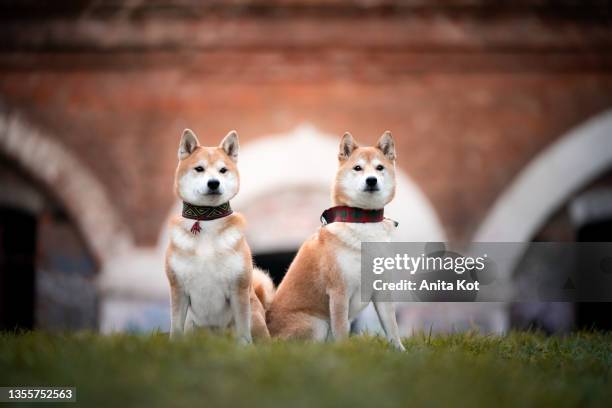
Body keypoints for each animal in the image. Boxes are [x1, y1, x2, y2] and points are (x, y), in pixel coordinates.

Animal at [166, 130, 274, 342]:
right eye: (199, 169)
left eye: (223, 170)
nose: (214, 183)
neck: (207, 221)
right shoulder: (178, 288)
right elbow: (175, 327)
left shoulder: (238, 287)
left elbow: (243, 330)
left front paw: (244, 346)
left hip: (254, 315)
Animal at [266, 131, 404, 350]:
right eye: (358, 168)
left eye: (379, 168)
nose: (371, 180)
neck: (363, 221)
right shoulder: (339, 292)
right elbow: (341, 331)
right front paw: (345, 352)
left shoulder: (381, 291)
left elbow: (392, 328)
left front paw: (401, 351)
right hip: (317, 324)